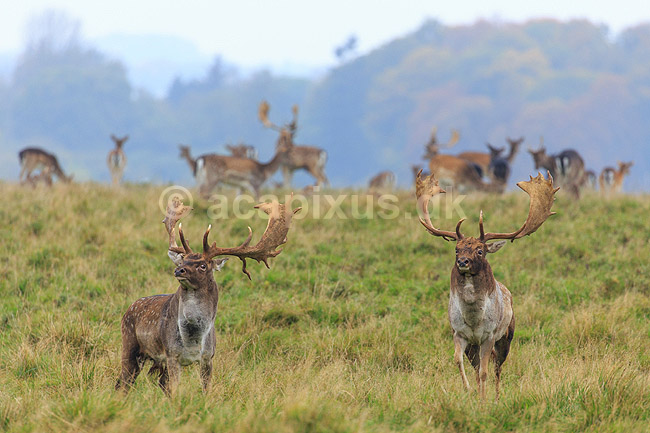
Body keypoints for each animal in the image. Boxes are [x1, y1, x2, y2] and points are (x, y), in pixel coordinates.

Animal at [115, 196, 301, 396]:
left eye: (203, 265)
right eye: (182, 260)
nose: (178, 270)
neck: (193, 340)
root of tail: (129, 309)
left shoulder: (208, 357)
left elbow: (205, 390)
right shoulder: (172, 354)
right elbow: (174, 390)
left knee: (154, 383)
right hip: (130, 345)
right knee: (123, 382)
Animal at [415, 169, 558, 399]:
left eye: (480, 251)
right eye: (457, 249)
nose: (462, 262)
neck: (474, 319)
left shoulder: (488, 336)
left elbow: (485, 372)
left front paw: (484, 399)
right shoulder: (459, 333)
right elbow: (458, 362)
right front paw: (468, 391)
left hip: (506, 337)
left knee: (497, 368)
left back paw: (497, 395)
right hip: (474, 346)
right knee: (478, 366)